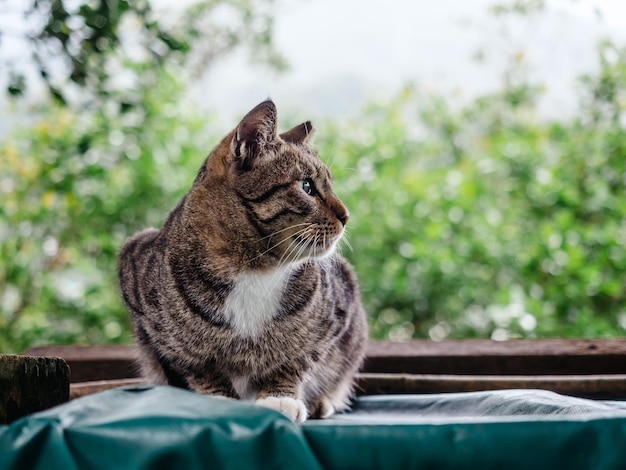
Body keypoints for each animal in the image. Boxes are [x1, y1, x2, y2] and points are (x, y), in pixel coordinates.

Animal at [118, 99, 366, 422]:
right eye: (307, 187)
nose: (346, 216)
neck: (255, 268)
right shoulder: (142, 296)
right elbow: (197, 367)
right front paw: (217, 399)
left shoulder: (336, 316)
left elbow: (297, 359)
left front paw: (279, 397)